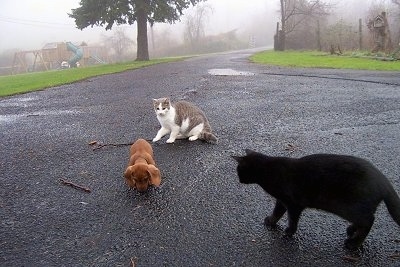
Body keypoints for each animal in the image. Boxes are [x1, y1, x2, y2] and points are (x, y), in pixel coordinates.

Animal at [233, 150, 398, 250]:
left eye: (239, 171)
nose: (239, 180)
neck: (268, 169)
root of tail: (383, 179)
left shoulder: (293, 203)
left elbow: (291, 219)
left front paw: (289, 231)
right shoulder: (281, 200)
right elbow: (277, 212)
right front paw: (272, 221)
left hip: (349, 207)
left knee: (369, 220)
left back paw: (354, 243)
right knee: (365, 220)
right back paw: (351, 231)